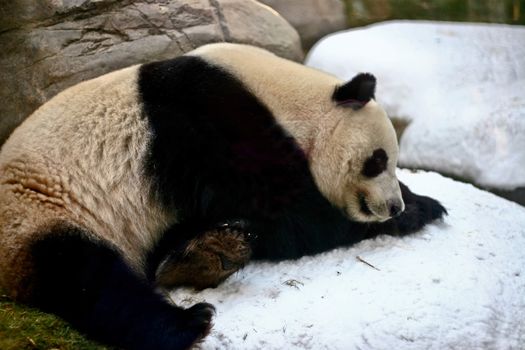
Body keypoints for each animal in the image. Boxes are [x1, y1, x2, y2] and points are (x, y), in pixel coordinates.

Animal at [0, 43, 442, 350]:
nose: (392, 206)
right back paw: (188, 322)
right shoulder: (212, 126)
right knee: (89, 278)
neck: (284, 98)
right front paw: (414, 212)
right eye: (377, 160)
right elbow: (292, 216)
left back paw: (202, 255)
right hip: (41, 212)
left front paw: (421, 201)